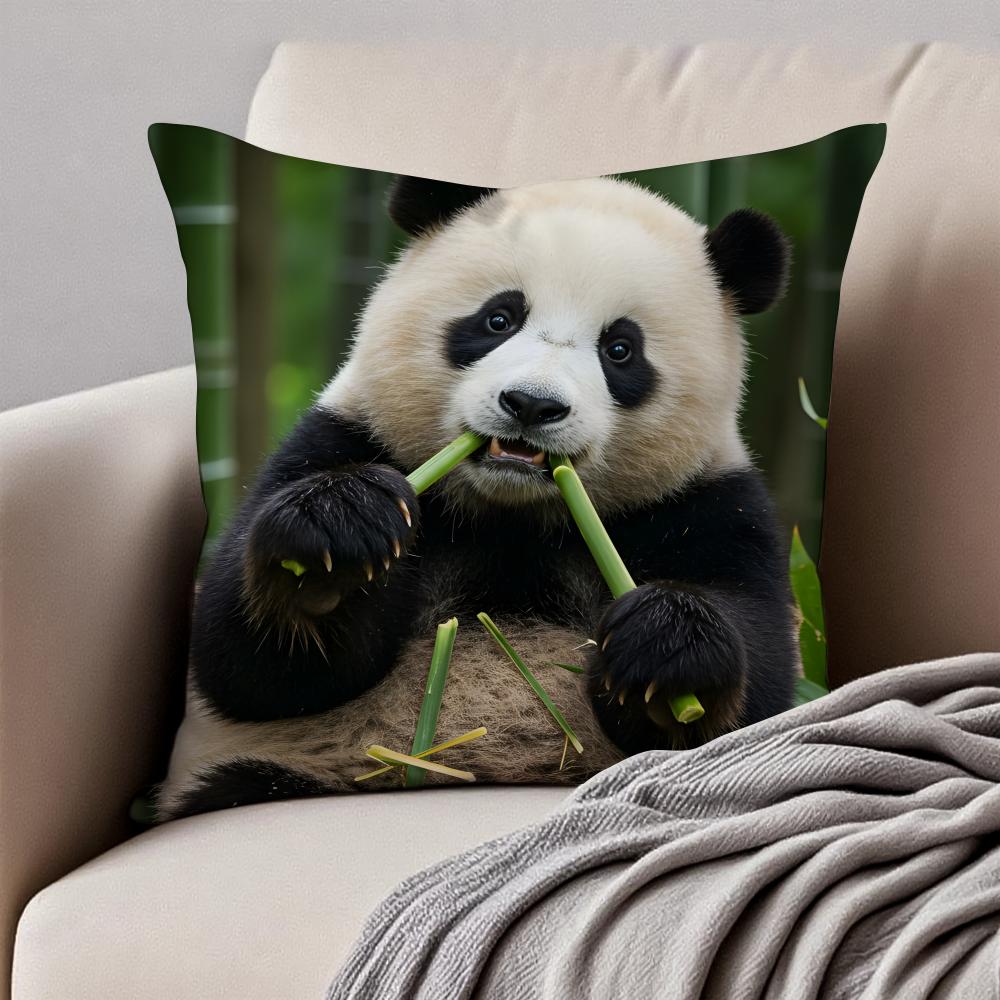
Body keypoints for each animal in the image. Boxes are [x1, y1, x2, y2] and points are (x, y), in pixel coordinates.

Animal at [156, 174, 799, 821]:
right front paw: (331, 542)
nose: (532, 405)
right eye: (499, 319)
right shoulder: (344, 438)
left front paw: (667, 648)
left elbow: (756, 690)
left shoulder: (704, 504)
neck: (513, 517)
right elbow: (247, 666)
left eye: (620, 349)